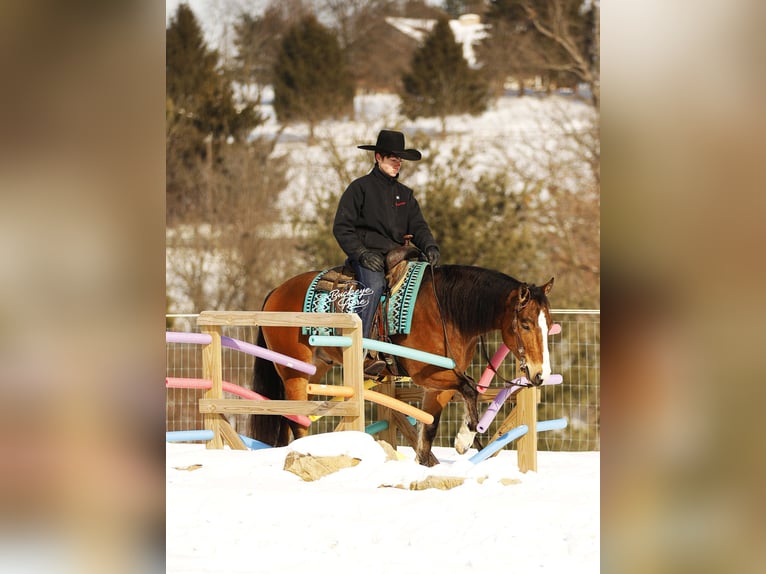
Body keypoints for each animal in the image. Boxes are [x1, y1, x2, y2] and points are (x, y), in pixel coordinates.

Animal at [250, 264, 554, 466]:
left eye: (548, 323)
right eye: (526, 324)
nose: (541, 374)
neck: (446, 312)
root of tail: (276, 291)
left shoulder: (438, 385)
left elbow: (430, 427)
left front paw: (429, 460)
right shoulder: (426, 374)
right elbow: (470, 388)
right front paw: (464, 440)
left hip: (316, 368)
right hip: (295, 372)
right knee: (297, 419)